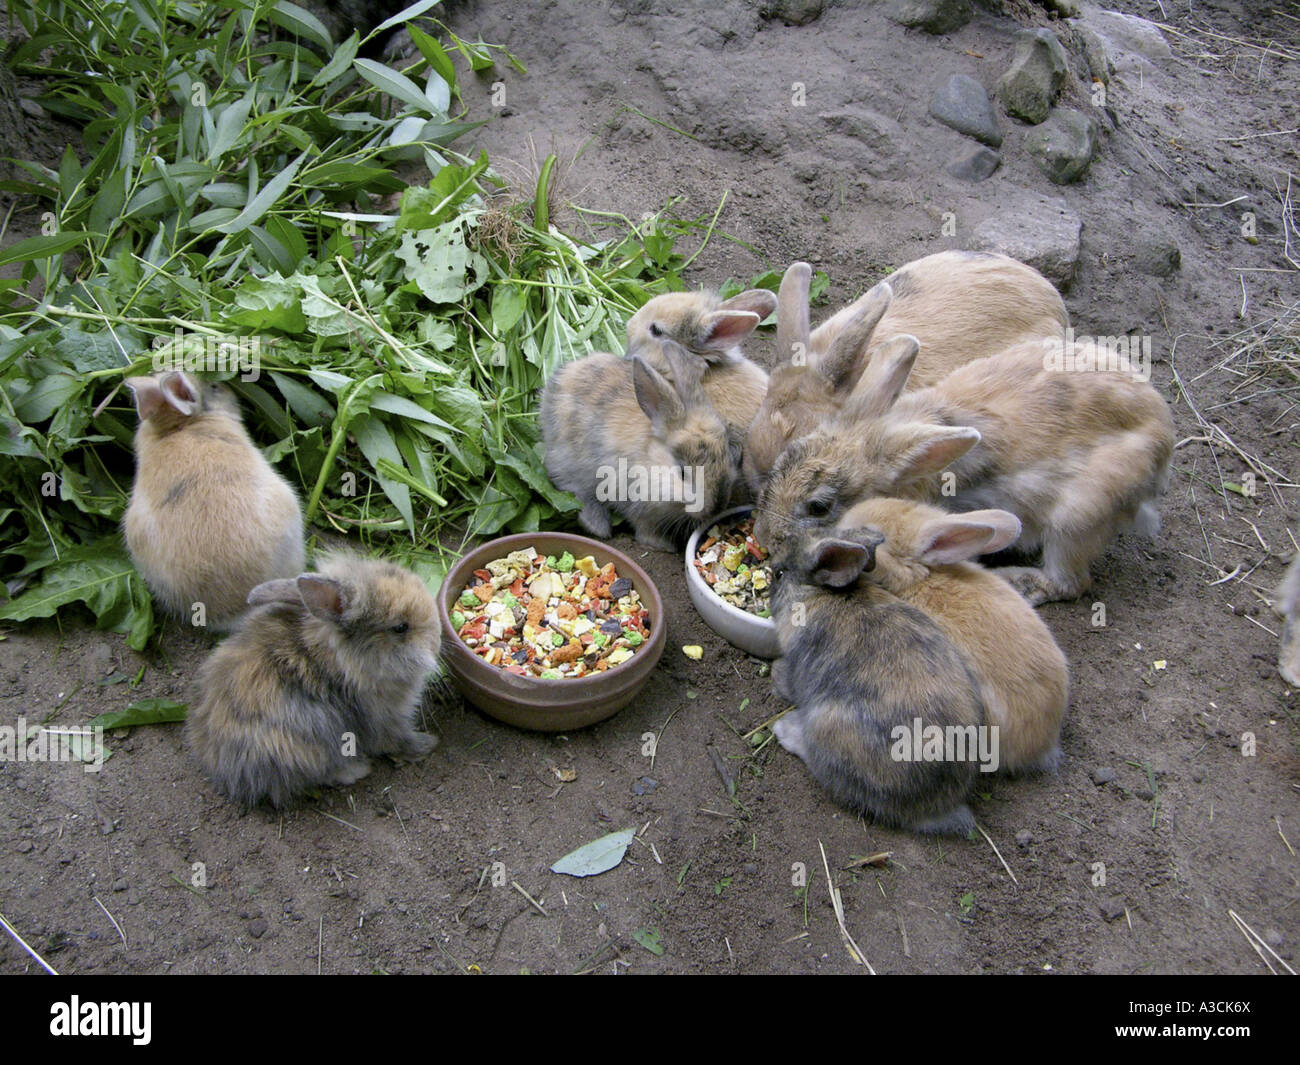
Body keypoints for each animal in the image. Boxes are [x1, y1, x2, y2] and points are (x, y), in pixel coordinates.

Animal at [186, 551, 441, 808]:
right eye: (400, 627)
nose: (437, 639)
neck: (345, 659)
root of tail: (224, 768)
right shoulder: (385, 718)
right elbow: (397, 740)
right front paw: (427, 744)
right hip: (309, 746)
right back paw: (356, 770)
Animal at [541, 339, 739, 550]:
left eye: (726, 457)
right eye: (682, 472)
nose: (716, 507)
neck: (649, 458)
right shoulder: (637, 504)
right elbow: (644, 529)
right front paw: (664, 546)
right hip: (571, 465)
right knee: (576, 492)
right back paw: (598, 526)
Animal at [753, 334, 1174, 605]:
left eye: (819, 507)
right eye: (783, 459)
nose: (762, 538)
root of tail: (1163, 445)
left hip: (1076, 520)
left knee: (1071, 583)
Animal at [769, 524, 986, 835]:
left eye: (779, 574)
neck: (815, 594)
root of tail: (934, 807)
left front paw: (775, 674)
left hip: (827, 728)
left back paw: (785, 729)